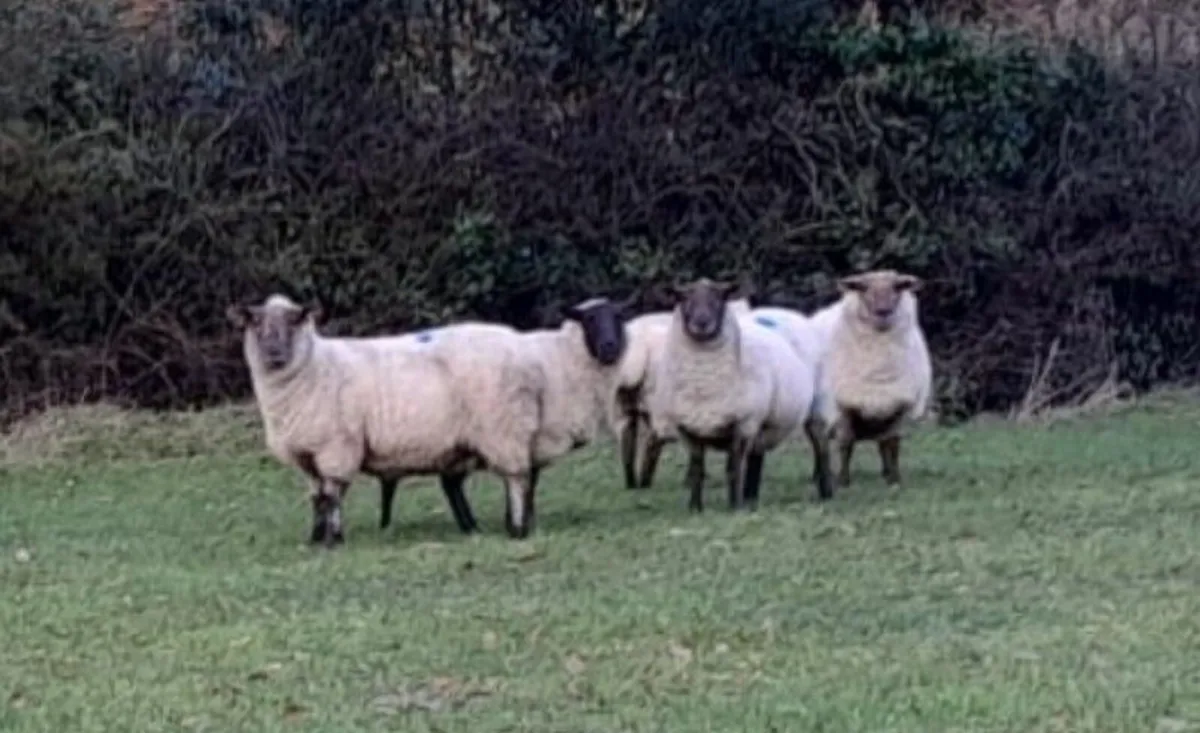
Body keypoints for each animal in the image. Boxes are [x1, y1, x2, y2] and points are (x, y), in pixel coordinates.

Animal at [226, 294, 545, 546]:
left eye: (294, 321)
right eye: (255, 323)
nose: (274, 353)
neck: (314, 367)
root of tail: (520, 348)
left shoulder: (336, 447)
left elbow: (332, 496)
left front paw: (333, 540)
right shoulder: (307, 455)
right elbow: (317, 498)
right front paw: (315, 539)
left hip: (503, 428)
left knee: (516, 479)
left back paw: (517, 529)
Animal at [652, 278, 833, 512]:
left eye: (719, 297)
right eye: (683, 298)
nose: (702, 322)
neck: (704, 384)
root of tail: (780, 310)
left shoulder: (741, 423)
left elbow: (733, 468)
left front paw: (734, 507)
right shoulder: (688, 428)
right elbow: (697, 470)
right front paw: (695, 508)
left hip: (816, 404)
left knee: (821, 445)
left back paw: (826, 492)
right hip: (763, 420)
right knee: (757, 455)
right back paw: (750, 497)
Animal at [818, 269, 932, 488]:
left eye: (897, 287)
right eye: (864, 288)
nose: (883, 311)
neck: (879, 368)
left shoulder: (896, 403)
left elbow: (893, 443)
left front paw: (895, 479)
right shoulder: (844, 405)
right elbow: (846, 443)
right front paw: (843, 480)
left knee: (882, 444)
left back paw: (886, 472)